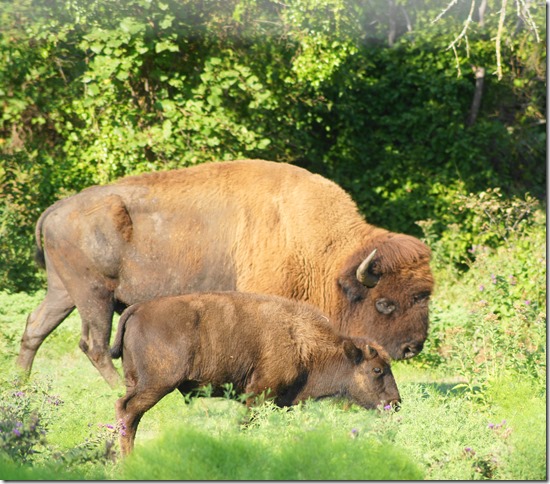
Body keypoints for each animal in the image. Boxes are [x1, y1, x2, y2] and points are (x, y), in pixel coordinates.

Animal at [16, 161, 436, 388]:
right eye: (384, 303)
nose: (412, 348)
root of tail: (56, 209)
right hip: (94, 296)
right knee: (95, 345)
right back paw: (118, 388)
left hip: (63, 292)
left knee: (35, 327)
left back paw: (21, 382)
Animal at [111, 292, 402, 454]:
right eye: (377, 369)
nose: (395, 403)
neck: (302, 342)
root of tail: (138, 308)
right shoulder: (258, 396)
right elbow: (247, 425)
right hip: (156, 384)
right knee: (128, 411)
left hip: (137, 382)